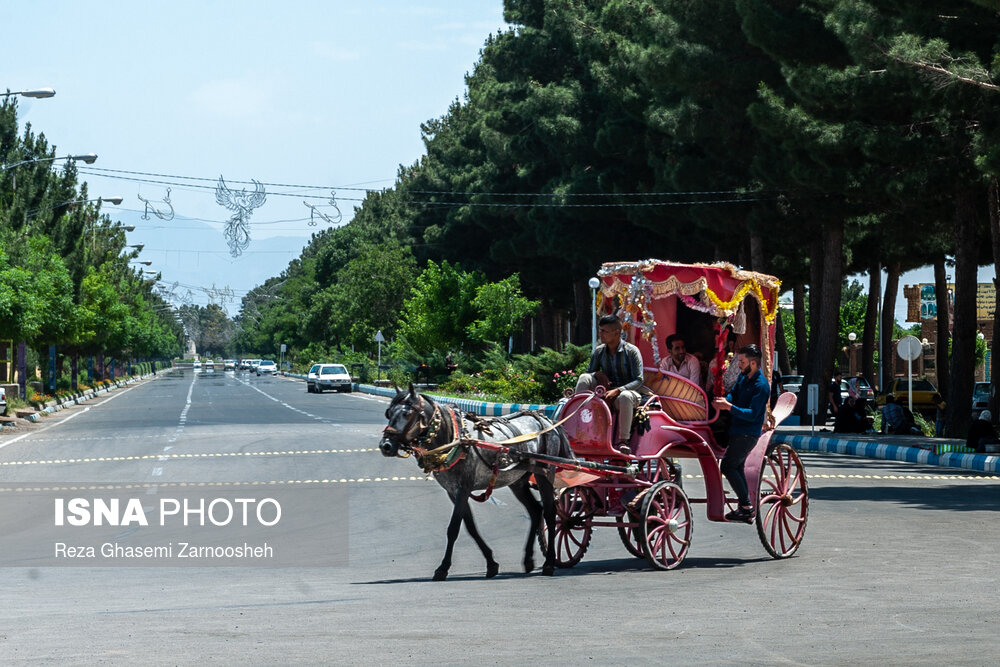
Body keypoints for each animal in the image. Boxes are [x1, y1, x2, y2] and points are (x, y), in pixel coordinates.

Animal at [378, 386, 576, 580]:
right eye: (389, 413)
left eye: (406, 413)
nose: (385, 446)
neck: (455, 438)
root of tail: (546, 421)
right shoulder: (453, 492)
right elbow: (471, 527)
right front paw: (491, 563)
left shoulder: (464, 488)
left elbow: (454, 528)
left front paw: (443, 568)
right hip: (518, 481)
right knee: (535, 511)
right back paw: (528, 560)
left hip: (545, 473)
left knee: (550, 513)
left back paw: (549, 562)